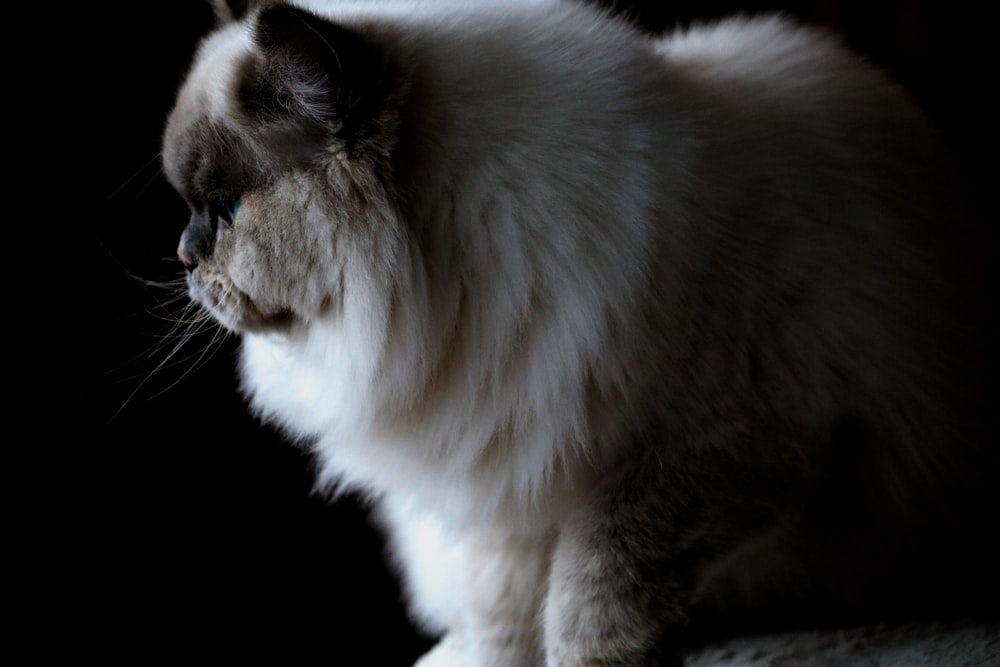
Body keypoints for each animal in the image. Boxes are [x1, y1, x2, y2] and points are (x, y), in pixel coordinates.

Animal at [160, 2, 996, 664]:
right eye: (195, 209)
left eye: (225, 210)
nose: (184, 256)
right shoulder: (498, 469)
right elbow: (502, 614)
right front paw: (495, 656)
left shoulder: (719, 445)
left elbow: (597, 577)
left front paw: (593, 656)